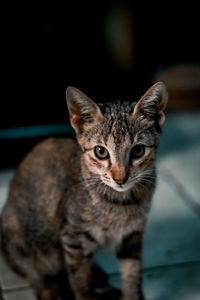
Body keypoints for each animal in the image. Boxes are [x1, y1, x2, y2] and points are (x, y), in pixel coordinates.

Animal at [0, 81, 167, 298]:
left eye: (138, 150)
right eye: (101, 151)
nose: (120, 179)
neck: (121, 201)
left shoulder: (132, 235)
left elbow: (132, 273)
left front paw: (133, 295)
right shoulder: (73, 237)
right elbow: (80, 279)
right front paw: (86, 292)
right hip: (17, 232)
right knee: (34, 272)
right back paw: (49, 290)